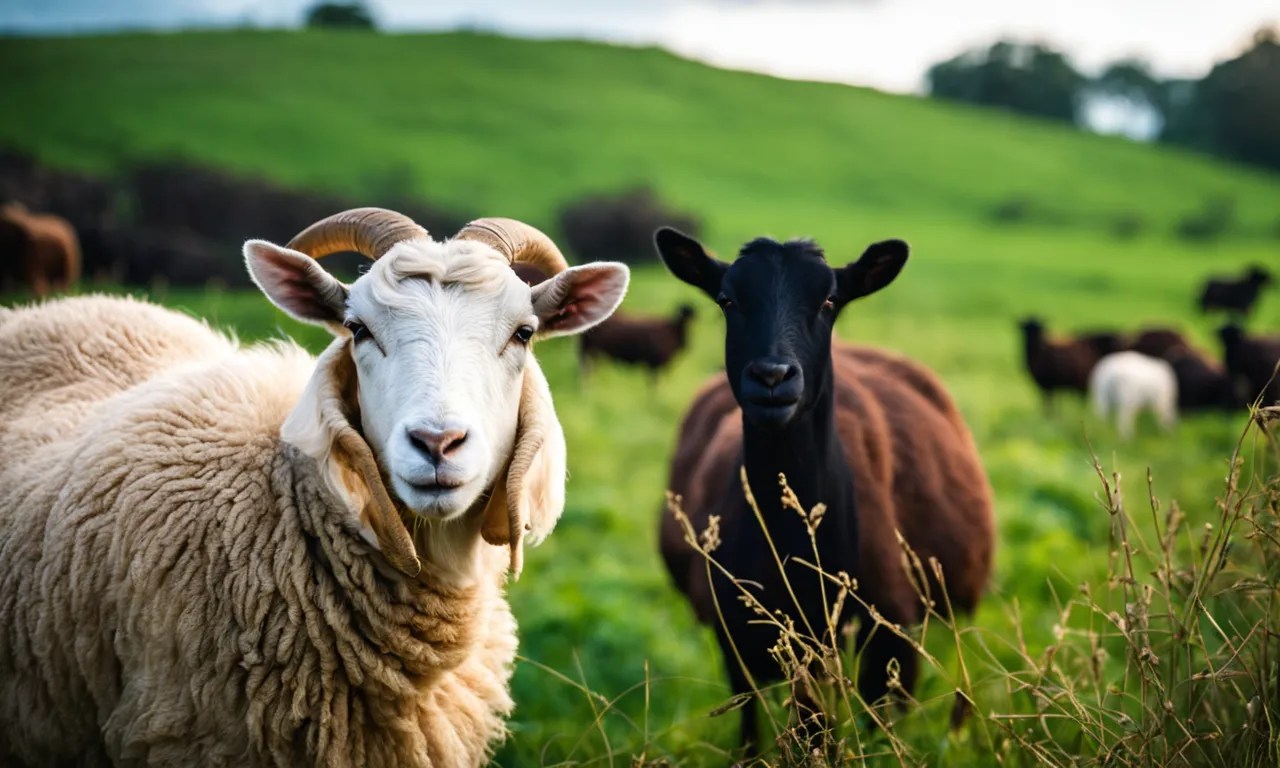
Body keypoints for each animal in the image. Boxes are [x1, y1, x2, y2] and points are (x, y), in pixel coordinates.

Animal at [656, 229, 994, 753]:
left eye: (830, 300)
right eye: (727, 300)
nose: (773, 376)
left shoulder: (891, 632)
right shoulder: (740, 634)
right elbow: (772, 728)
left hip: (961, 598)